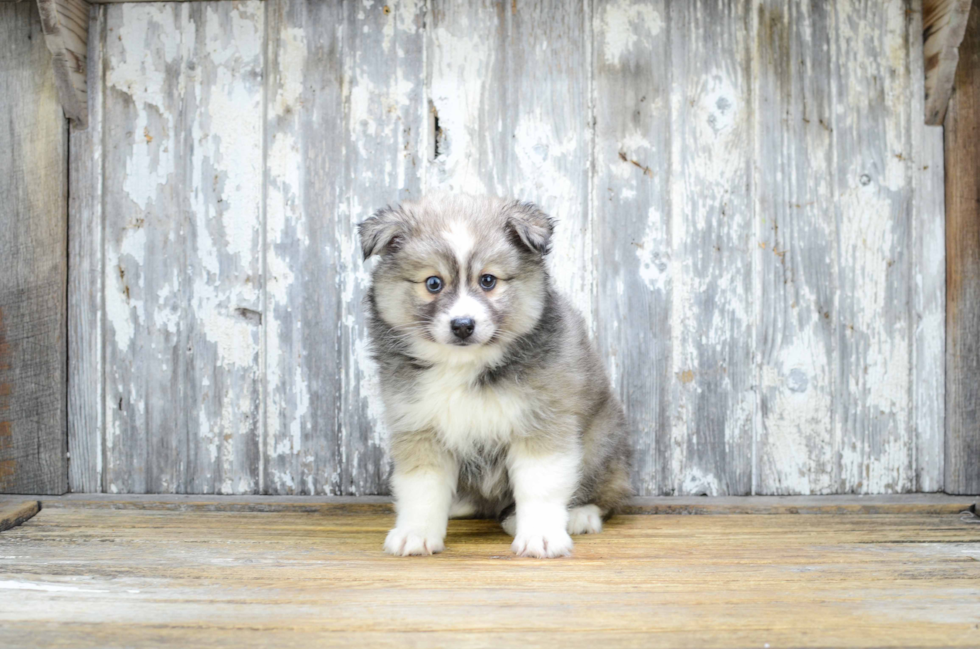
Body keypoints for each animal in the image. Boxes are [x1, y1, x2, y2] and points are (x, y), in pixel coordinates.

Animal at [358, 194, 628, 556]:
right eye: (433, 283)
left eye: (488, 280)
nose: (462, 325)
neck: (464, 364)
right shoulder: (419, 427)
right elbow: (422, 488)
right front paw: (416, 533)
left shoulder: (541, 423)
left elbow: (540, 486)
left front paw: (541, 535)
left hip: (600, 441)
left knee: (606, 492)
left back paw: (578, 515)